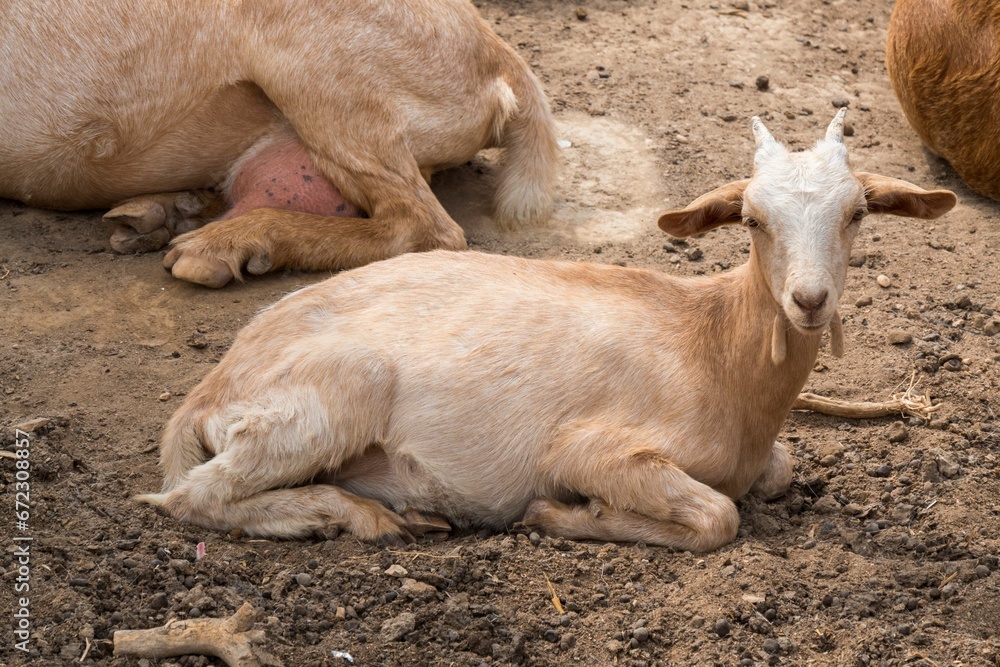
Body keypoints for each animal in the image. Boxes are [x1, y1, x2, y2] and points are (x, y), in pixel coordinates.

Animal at [139, 111, 956, 552]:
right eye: (752, 219)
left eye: (857, 213)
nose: (809, 300)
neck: (717, 348)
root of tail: (208, 391)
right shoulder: (592, 446)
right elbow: (718, 514)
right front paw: (564, 514)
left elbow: (776, 472)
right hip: (330, 396)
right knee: (192, 497)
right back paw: (364, 517)